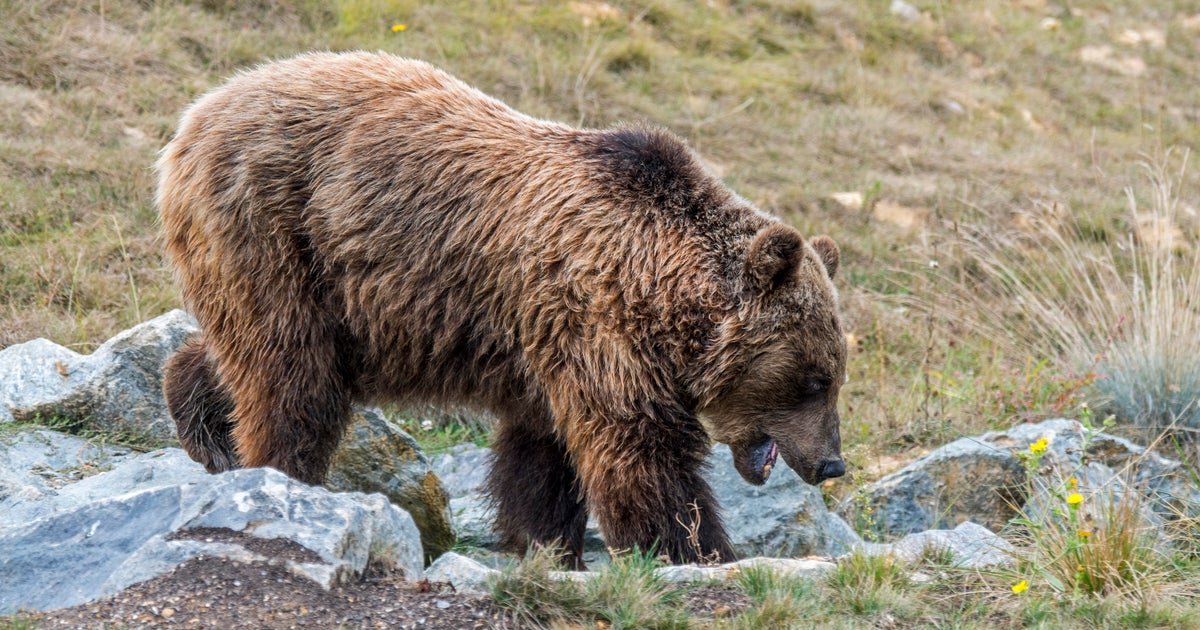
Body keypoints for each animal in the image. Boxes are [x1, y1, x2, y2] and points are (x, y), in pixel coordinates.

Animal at [159, 52, 849, 564]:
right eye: (815, 379)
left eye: (835, 376)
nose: (832, 463)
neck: (661, 291)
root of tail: (197, 112)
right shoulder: (595, 324)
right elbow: (641, 451)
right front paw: (695, 548)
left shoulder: (545, 344)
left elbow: (542, 456)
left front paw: (547, 545)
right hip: (275, 228)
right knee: (292, 372)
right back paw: (279, 472)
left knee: (252, 354)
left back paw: (206, 426)